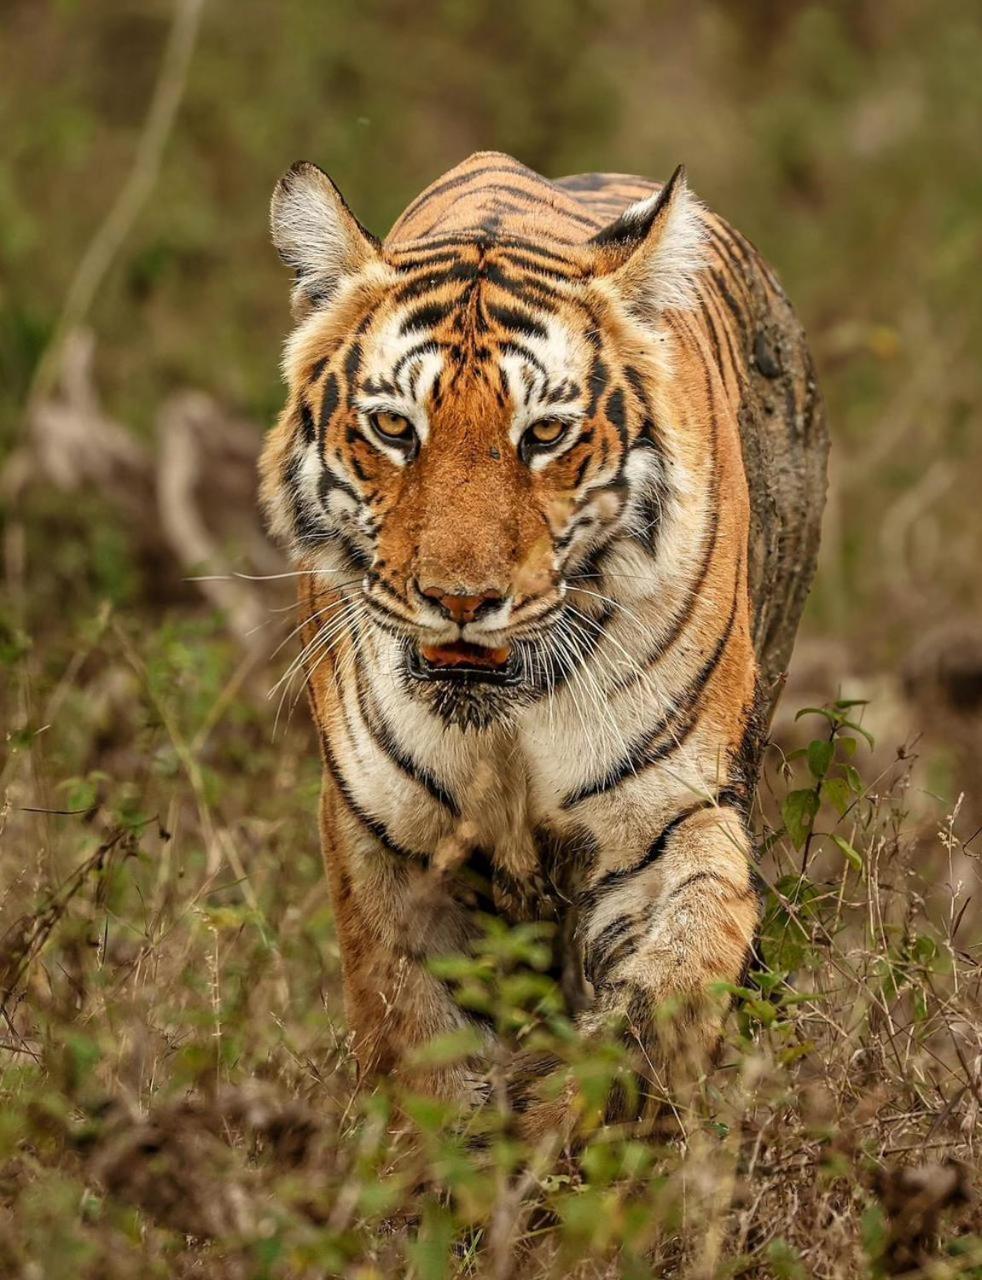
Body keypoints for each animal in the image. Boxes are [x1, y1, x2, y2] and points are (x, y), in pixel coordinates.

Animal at [257, 152, 824, 1141]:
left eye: (546, 434)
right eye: (395, 428)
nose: (461, 600)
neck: (503, 721)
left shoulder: (671, 811)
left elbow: (674, 977)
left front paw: (575, 1132)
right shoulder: (386, 839)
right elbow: (414, 1038)